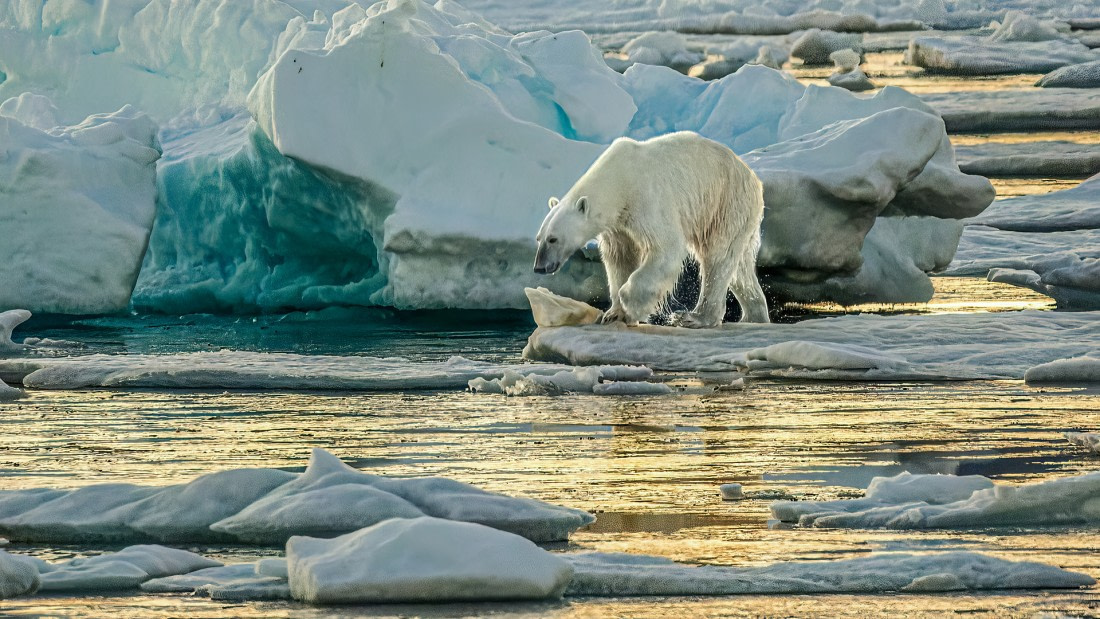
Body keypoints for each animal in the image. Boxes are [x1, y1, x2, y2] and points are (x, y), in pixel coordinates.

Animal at [533, 131, 769, 328]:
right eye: (539, 238)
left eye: (553, 239)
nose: (539, 267)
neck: (619, 181)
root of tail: (754, 178)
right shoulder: (618, 226)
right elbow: (620, 258)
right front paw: (612, 314)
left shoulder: (646, 198)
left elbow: (666, 247)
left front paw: (631, 305)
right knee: (739, 268)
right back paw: (754, 316)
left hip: (725, 201)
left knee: (718, 256)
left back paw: (693, 317)